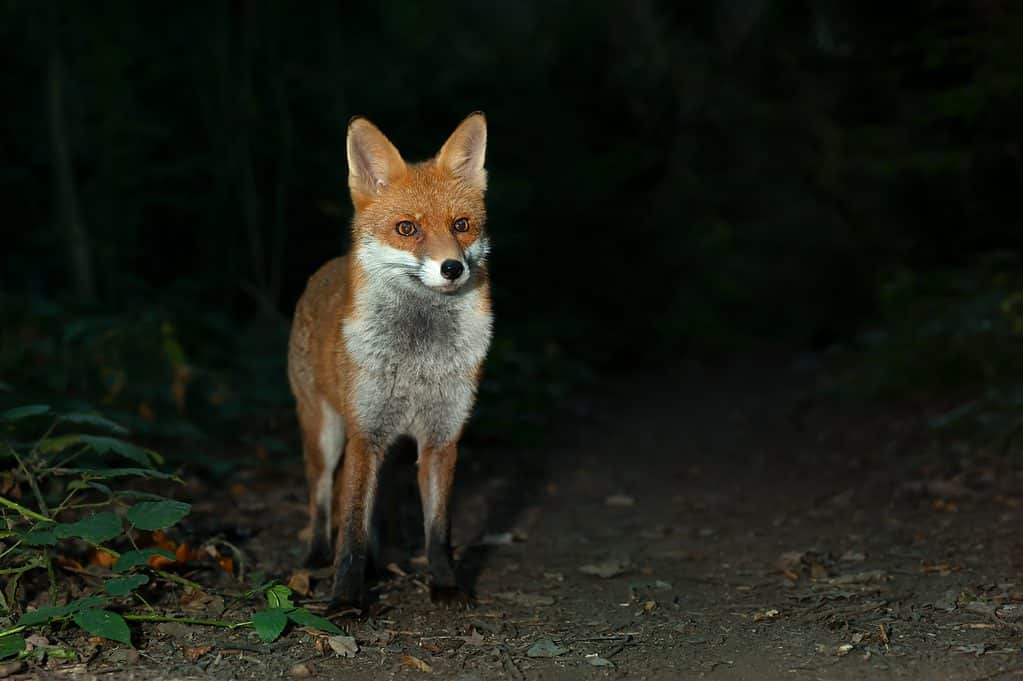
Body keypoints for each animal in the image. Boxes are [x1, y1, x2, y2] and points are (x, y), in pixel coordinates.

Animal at [286, 111, 493, 605]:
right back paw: (316, 556)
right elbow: (351, 531)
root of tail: (326, 268)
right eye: (406, 228)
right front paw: (345, 598)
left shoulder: (441, 436)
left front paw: (445, 585)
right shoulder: (365, 432)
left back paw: (378, 565)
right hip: (326, 433)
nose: (453, 268)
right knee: (322, 499)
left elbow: (437, 530)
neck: (419, 356)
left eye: (461, 225)